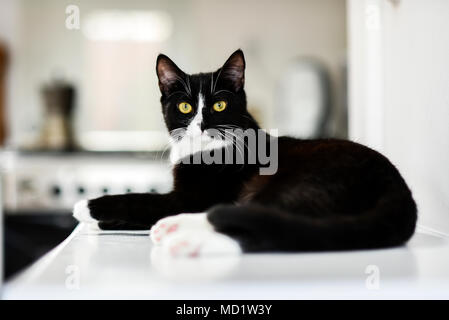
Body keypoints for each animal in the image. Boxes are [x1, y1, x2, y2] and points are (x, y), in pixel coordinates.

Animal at [73, 48, 416, 256]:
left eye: (219, 105)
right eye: (184, 107)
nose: (201, 124)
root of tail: (397, 187)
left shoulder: (189, 198)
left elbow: (141, 199)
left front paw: (87, 207)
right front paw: (101, 221)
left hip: (300, 180)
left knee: (266, 224)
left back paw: (185, 236)